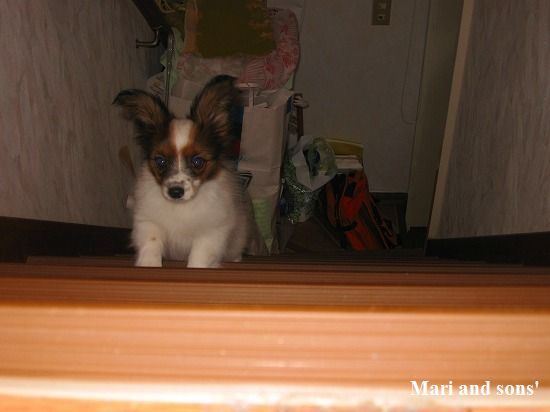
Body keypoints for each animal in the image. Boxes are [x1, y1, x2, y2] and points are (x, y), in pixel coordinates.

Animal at [114, 75, 262, 267]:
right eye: (161, 161)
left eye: (197, 162)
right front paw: (148, 265)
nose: (175, 192)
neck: (181, 207)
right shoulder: (149, 221)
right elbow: (151, 244)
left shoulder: (211, 232)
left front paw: (195, 268)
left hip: (238, 237)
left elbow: (199, 256)